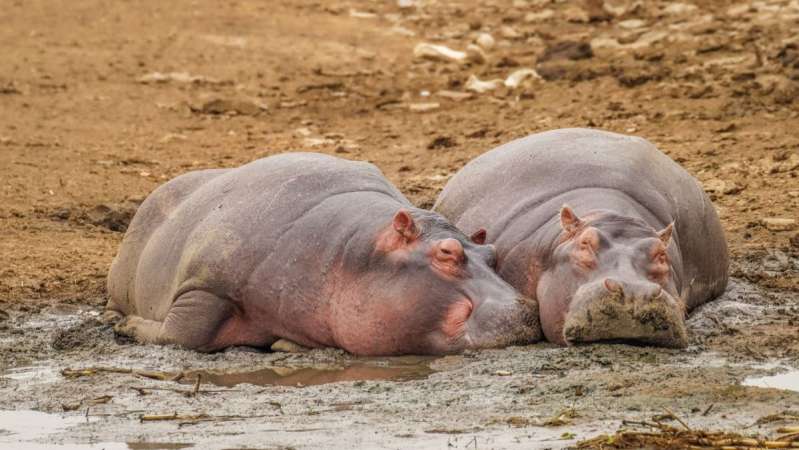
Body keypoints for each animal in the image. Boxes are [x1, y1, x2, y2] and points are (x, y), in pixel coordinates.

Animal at [106, 153, 540, 356]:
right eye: (447, 252)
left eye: (492, 252)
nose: (527, 309)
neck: (353, 250)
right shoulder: (206, 282)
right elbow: (182, 334)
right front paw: (129, 327)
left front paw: (284, 345)